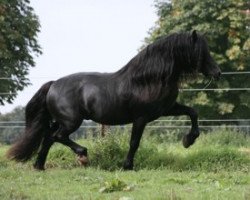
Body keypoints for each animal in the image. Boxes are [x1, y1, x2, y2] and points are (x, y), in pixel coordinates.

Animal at [6, 30, 220, 170]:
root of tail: (53, 84)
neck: (147, 80)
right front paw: (127, 166)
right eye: (202, 51)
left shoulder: (166, 109)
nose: (217, 73)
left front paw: (188, 140)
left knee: (49, 138)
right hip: (71, 121)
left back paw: (39, 166)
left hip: (61, 120)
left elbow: (193, 112)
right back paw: (83, 155)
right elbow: (134, 142)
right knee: (58, 137)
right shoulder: (141, 118)